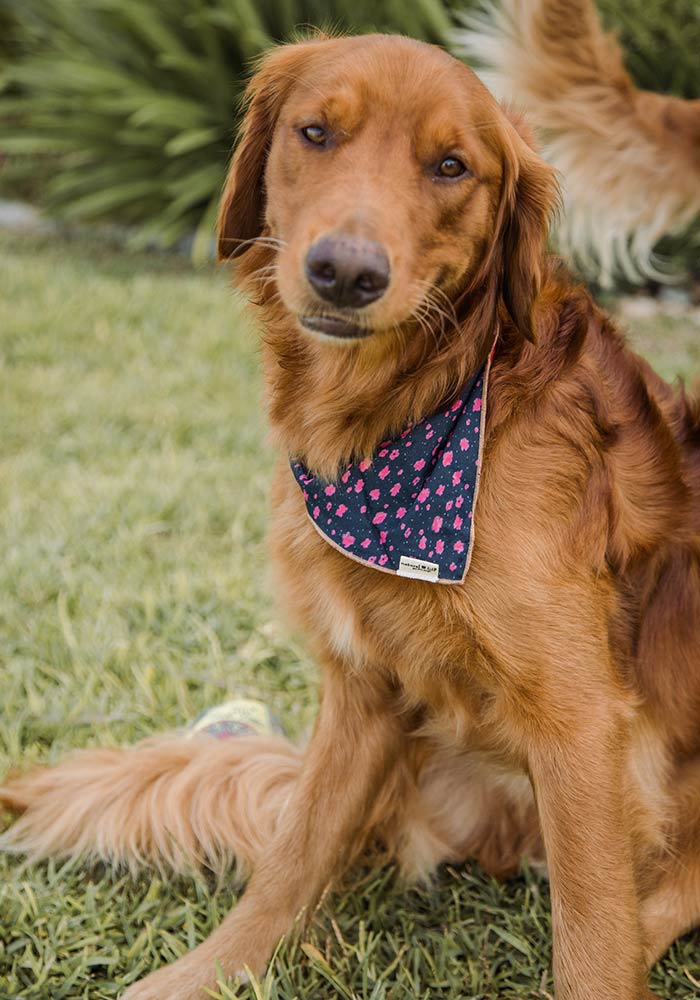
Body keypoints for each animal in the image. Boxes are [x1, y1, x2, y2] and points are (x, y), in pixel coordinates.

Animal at [1, 31, 700, 1000]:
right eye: (315, 132)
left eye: (451, 166)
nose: (346, 273)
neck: (405, 418)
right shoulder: (364, 688)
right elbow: (291, 859)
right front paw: (203, 973)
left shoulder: (582, 723)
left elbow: (595, 942)